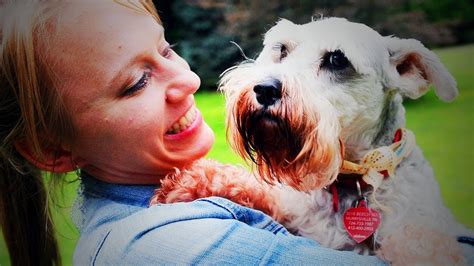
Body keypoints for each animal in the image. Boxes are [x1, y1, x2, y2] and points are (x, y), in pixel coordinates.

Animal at [150, 17, 472, 264]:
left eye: (337, 59)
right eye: (282, 50)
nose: (264, 89)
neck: (351, 180)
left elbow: (416, 243)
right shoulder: (291, 208)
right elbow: (253, 186)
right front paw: (187, 180)